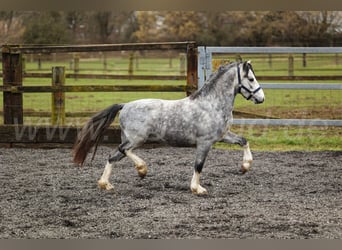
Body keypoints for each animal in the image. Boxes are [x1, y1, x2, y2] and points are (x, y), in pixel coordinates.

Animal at [73, 61, 264, 194]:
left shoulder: (222, 136)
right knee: (123, 150)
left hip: (131, 140)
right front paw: (197, 188)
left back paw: (106, 184)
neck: (212, 104)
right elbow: (199, 165)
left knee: (113, 157)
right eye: (251, 79)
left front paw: (245, 166)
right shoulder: (204, 142)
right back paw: (141, 169)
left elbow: (244, 141)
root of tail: (125, 105)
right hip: (137, 139)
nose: (261, 98)